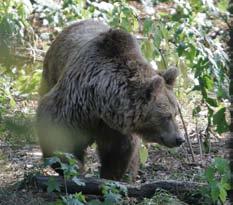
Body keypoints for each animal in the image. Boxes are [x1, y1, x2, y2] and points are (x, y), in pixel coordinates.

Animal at [37, 18, 185, 179]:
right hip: (51, 72)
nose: (180, 139)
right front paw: (74, 167)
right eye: (166, 116)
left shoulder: (117, 128)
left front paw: (110, 175)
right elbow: (56, 131)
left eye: (176, 113)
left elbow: (117, 153)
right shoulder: (75, 103)